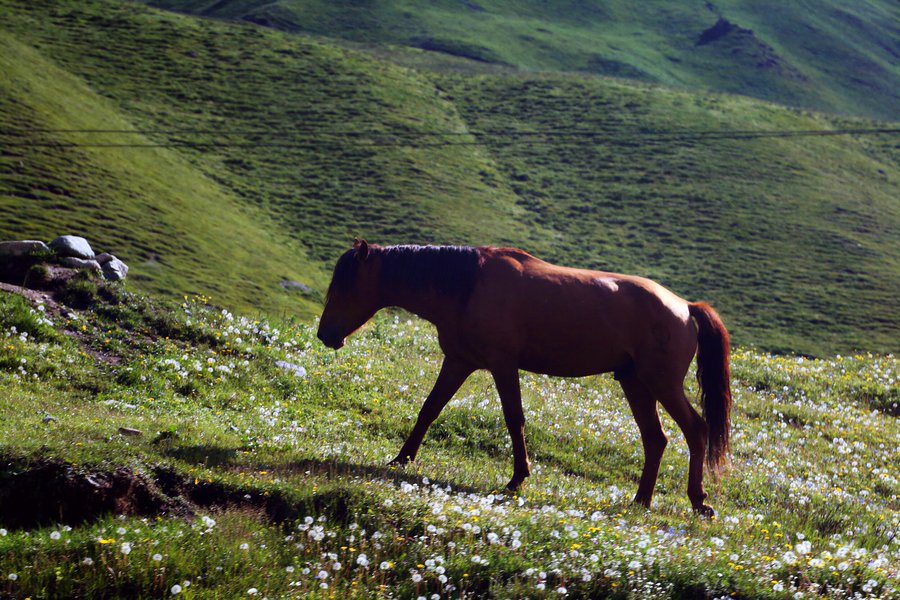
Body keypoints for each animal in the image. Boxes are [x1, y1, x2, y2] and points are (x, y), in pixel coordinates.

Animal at [318, 239, 732, 516]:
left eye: (344, 286)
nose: (326, 335)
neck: (467, 286)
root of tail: (685, 306)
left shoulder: (502, 365)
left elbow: (513, 418)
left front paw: (517, 479)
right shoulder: (458, 361)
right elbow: (429, 409)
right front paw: (401, 458)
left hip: (661, 383)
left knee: (695, 429)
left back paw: (698, 500)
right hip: (635, 383)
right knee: (655, 439)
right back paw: (641, 500)